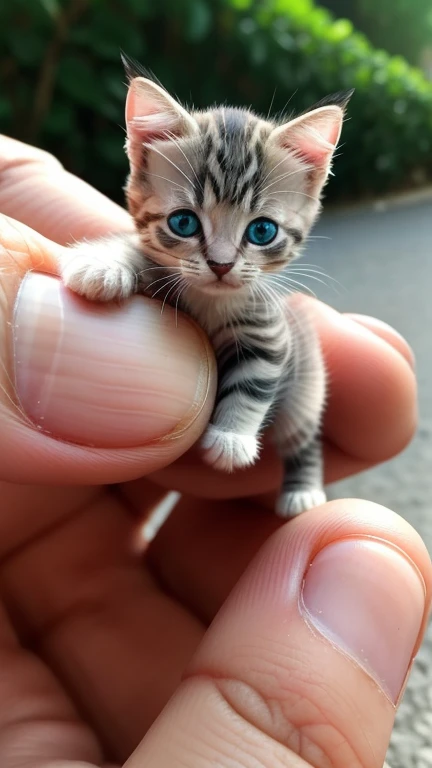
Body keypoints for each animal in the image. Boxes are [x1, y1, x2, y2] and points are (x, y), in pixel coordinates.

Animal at [60, 58, 352, 516]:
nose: (221, 264)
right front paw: (101, 265)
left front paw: (231, 439)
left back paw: (302, 491)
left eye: (262, 231)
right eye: (183, 222)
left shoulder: (270, 333)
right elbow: (135, 252)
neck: (210, 300)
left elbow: (254, 381)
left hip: (307, 388)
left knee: (303, 436)